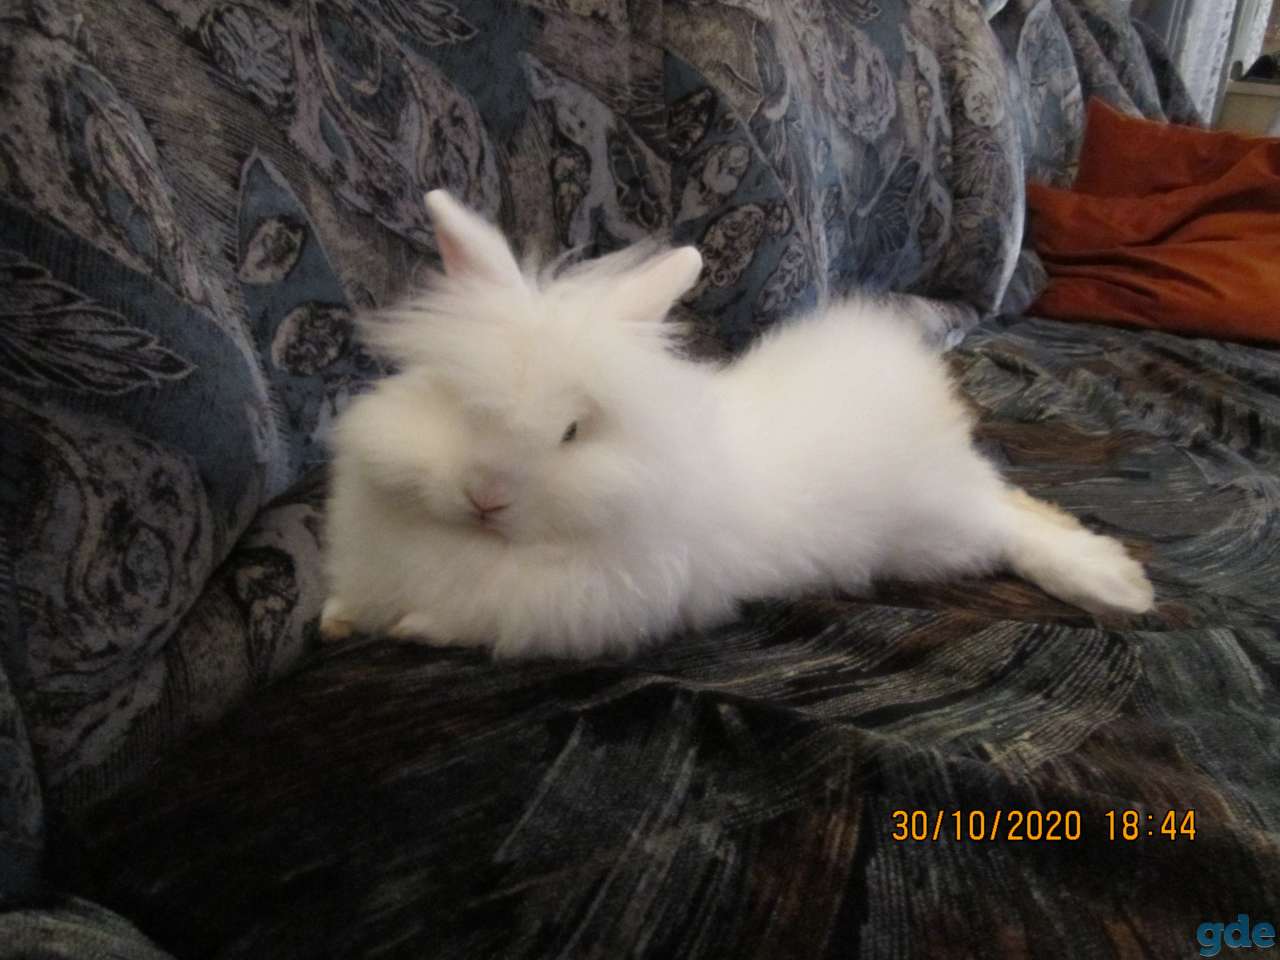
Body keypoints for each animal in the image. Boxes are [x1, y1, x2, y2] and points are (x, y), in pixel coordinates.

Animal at [320, 190, 1155, 659]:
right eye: (458, 402)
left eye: (572, 433)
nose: (486, 496)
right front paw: (336, 618)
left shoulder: (573, 609)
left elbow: (458, 625)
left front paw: (410, 629)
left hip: (932, 532)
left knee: (1008, 524)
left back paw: (1117, 585)